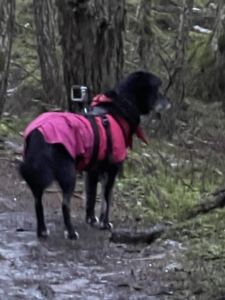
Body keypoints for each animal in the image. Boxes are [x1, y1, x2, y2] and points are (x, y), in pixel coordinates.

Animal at [19, 71, 171, 239]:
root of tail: (37, 133)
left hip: (38, 173)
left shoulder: (91, 172)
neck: (117, 110)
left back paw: (42, 230)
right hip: (68, 174)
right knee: (65, 205)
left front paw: (91, 219)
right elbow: (106, 201)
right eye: (157, 90)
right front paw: (104, 224)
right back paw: (71, 232)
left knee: (37, 201)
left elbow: (91, 199)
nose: (168, 102)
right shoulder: (111, 171)